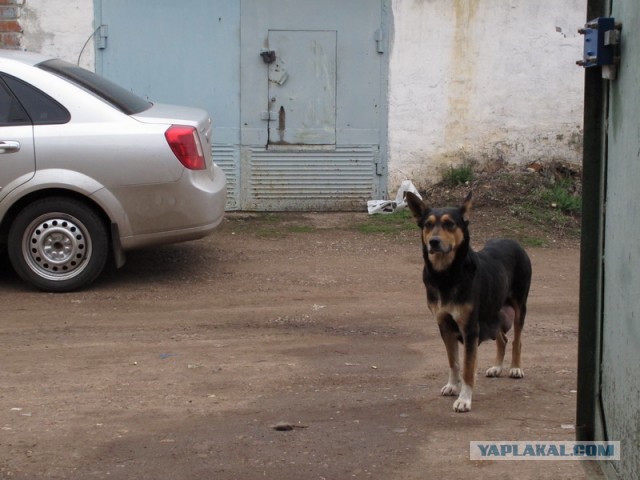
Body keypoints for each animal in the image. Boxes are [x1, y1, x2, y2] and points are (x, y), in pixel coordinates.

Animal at [408, 191, 532, 412]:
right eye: (427, 225)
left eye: (450, 224)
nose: (434, 242)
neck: (446, 275)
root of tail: (513, 241)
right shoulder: (445, 325)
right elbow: (453, 362)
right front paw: (452, 386)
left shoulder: (469, 328)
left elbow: (467, 366)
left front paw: (464, 399)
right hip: (492, 312)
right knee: (503, 339)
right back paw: (497, 367)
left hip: (519, 307)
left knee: (516, 340)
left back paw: (515, 368)